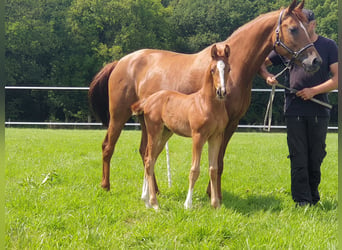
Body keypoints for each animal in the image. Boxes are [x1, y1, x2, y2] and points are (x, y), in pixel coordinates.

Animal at [132, 45, 231, 209]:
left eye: (228, 69)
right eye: (212, 70)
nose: (222, 92)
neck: (208, 104)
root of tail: (149, 100)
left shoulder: (216, 137)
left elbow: (213, 169)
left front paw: (215, 204)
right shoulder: (198, 136)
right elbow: (194, 170)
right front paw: (188, 204)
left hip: (165, 133)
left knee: (149, 159)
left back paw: (146, 200)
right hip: (154, 131)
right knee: (149, 161)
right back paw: (154, 203)